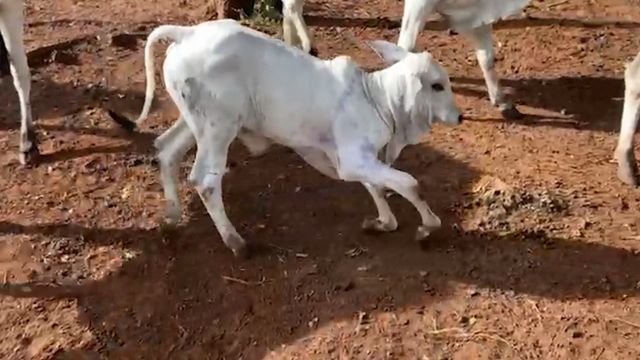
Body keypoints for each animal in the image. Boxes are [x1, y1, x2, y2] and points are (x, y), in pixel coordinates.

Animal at [114, 19, 460, 258]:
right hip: (218, 127)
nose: (460, 117)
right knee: (205, 180)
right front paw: (427, 227)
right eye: (437, 85)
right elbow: (408, 183)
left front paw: (382, 223)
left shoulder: (356, 159)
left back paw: (172, 217)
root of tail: (186, 33)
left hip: (195, 122)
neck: (377, 98)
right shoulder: (353, 160)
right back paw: (237, 243)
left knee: (166, 150)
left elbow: (377, 186)